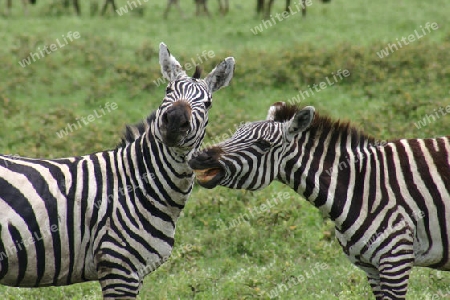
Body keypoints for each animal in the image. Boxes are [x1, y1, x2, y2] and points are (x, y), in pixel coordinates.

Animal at [189, 102, 450, 298]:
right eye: (235, 132)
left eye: (263, 144)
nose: (197, 158)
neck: (362, 186)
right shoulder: (371, 268)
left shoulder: (396, 260)